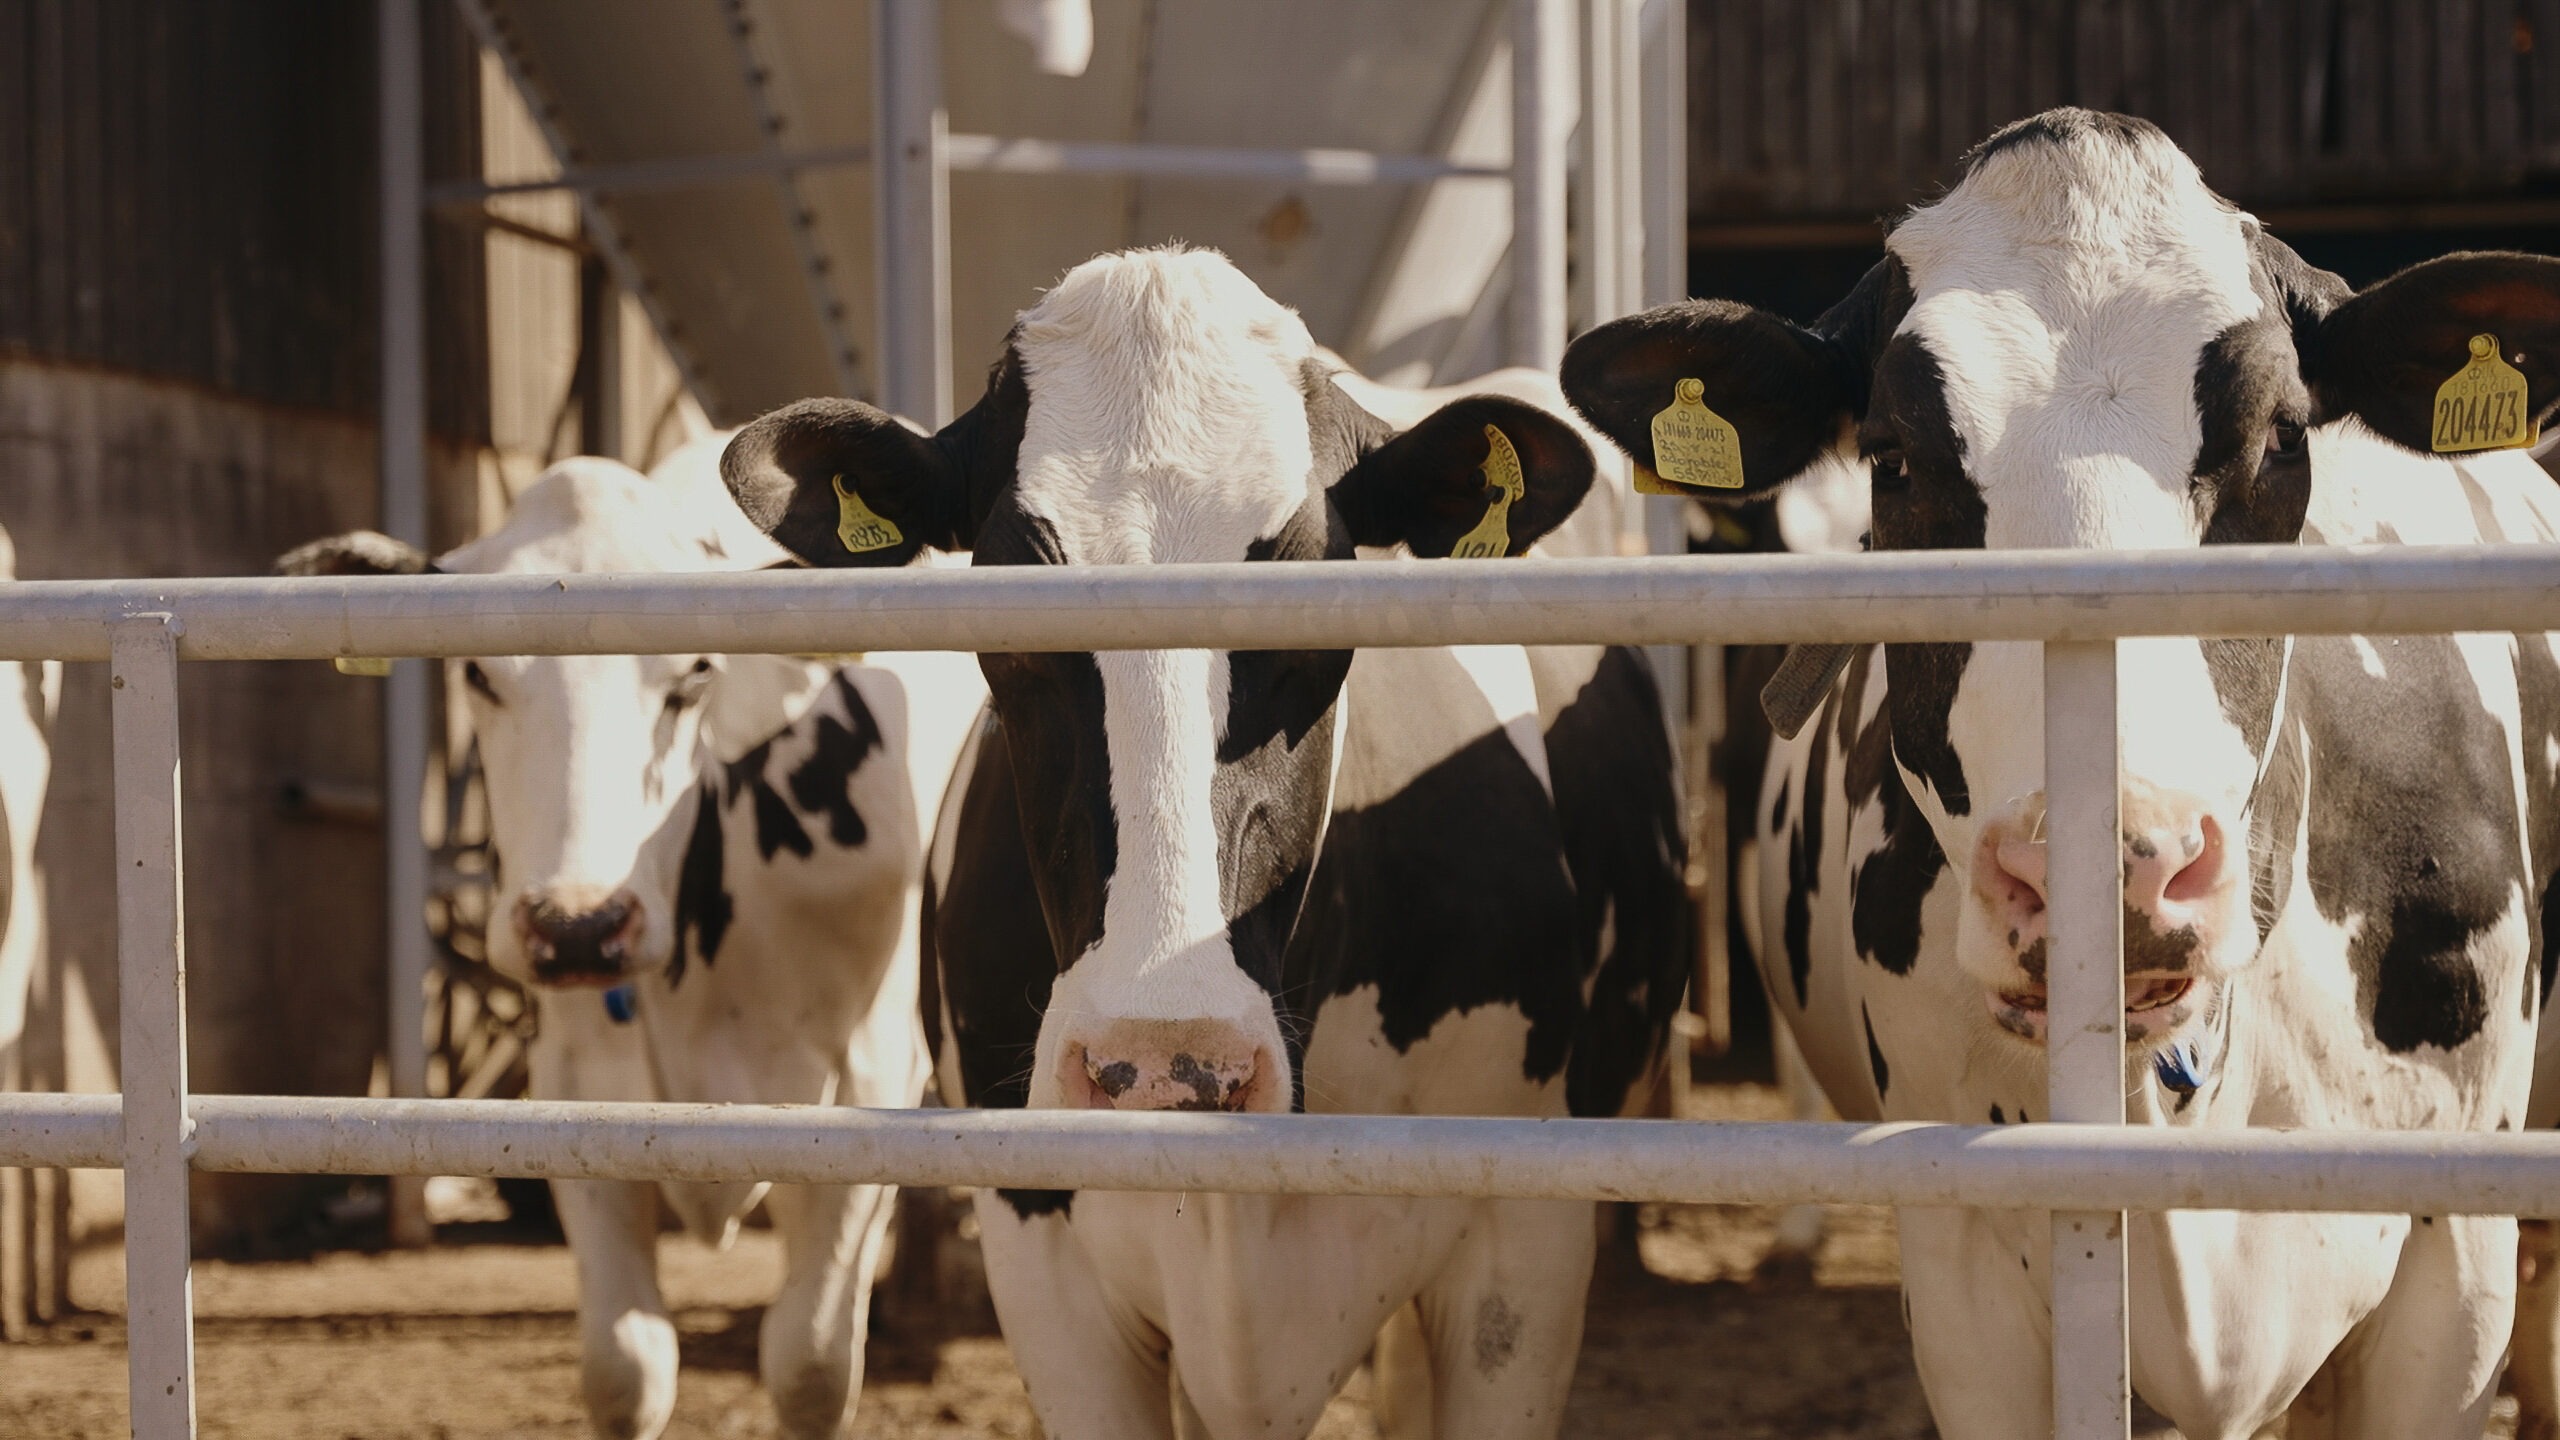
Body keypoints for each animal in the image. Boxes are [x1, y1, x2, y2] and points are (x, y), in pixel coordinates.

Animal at [275, 443, 955, 1440]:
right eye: (477, 674)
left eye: (696, 675)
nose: (579, 926)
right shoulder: (575, 1092)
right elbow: (627, 1369)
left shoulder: (870, 1086)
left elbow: (809, 1365)